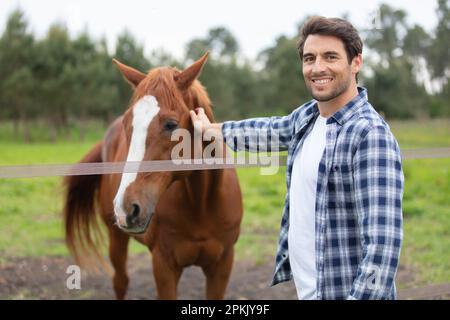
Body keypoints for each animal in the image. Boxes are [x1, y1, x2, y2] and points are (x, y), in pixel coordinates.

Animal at [63, 53, 243, 300]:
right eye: (127, 123)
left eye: (171, 124)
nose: (126, 208)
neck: (202, 204)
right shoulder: (164, 264)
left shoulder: (222, 265)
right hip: (116, 237)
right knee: (121, 281)